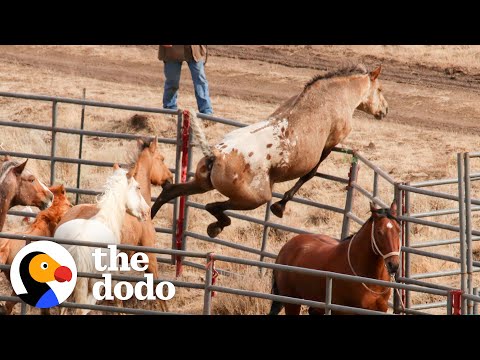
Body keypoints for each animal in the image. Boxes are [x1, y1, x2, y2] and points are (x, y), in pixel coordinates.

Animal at [152, 64, 388, 239]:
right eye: (380, 89)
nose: (385, 110)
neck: (334, 95)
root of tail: (216, 155)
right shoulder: (331, 142)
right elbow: (309, 174)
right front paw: (280, 206)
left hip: (202, 184)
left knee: (171, 191)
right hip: (254, 198)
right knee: (214, 206)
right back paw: (216, 226)